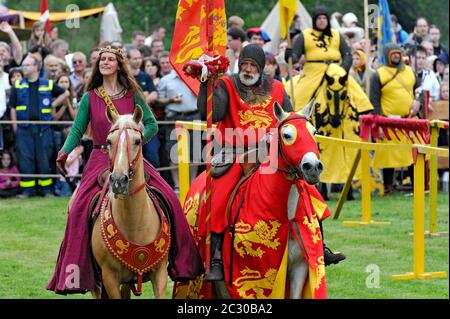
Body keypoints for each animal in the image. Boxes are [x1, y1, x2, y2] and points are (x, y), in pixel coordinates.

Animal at [90, 107, 171, 300]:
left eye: (137, 141)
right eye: (108, 141)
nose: (119, 181)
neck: (135, 224)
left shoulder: (160, 274)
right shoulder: (109, 278)